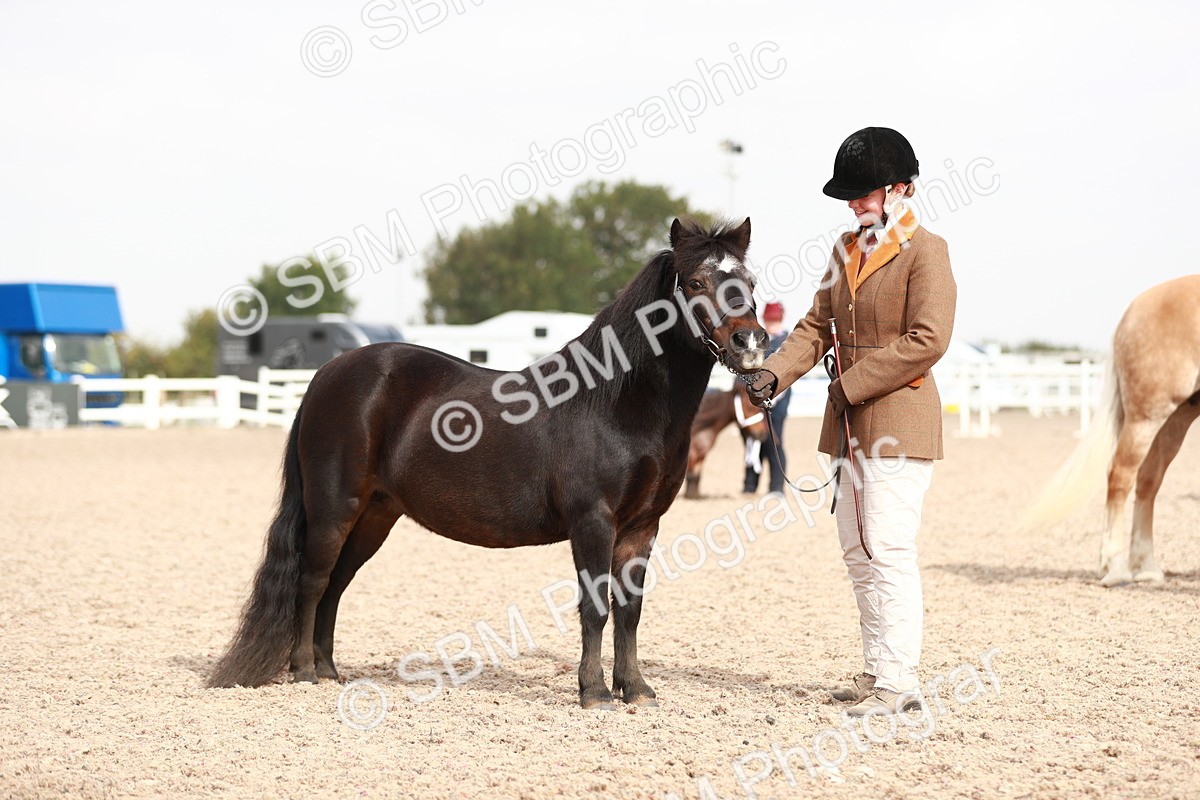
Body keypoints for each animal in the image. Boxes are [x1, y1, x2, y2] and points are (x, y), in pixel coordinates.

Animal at [208, 218, 768, 709]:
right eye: (696, 281)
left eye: (749, 282)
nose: (750, 343)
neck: (616, 403)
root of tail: (327, 374)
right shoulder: (593, 522)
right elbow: (594, 608)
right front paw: (593, 693)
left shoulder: (642, 526)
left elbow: (629, 609)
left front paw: (636, 689)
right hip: (333, 508)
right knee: (312, 579)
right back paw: (304, 670)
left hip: (374, 516)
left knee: (337, 585)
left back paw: (328, 670)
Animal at [1026, 275, 1200, 586]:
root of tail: (1133, 309)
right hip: (1147, 416)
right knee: (1120, 476)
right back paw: (1116, 568)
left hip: (1176, 418)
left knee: (1148, 481)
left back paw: (1146, 567)